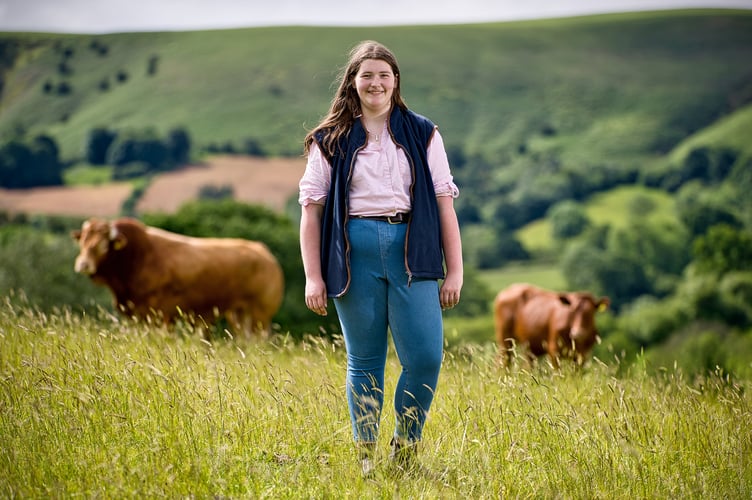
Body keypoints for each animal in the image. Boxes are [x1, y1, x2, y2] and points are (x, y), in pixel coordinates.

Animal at [72, 217, 284, 338]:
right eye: (83, 241)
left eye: (102, 244)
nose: (83, 264)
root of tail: (263, 252)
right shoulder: (138, 315)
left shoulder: (160, 314)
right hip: (239, 314)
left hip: (260, 314)